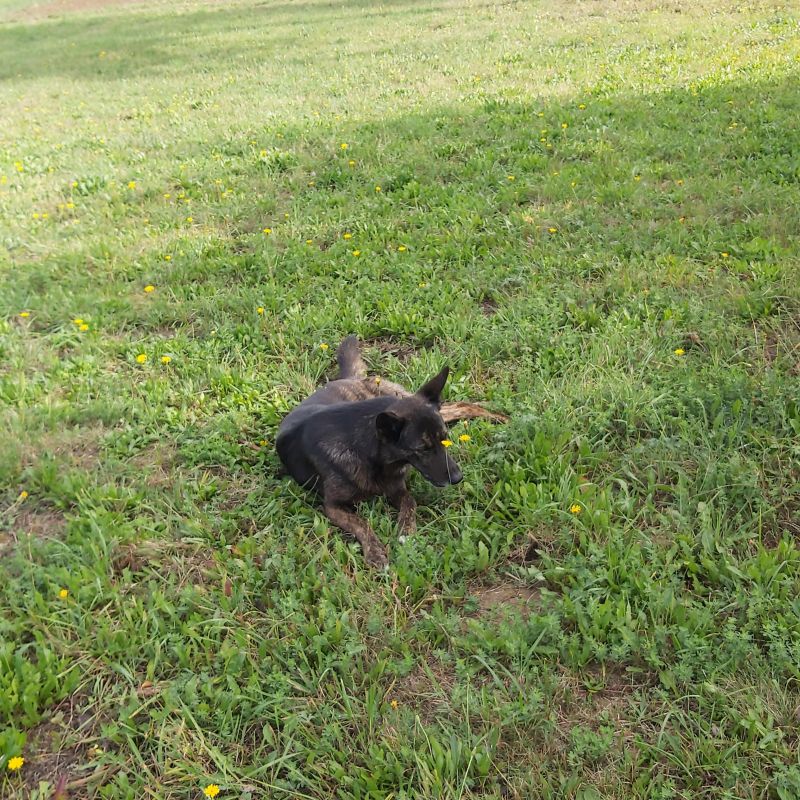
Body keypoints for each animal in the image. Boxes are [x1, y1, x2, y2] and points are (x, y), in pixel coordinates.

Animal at [276, 336, 506, 568]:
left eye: (444, 439)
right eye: (422, 449)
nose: (458, 478)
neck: (368, 453)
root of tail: (350, 379)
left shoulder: (398, 490)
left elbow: (410, 503)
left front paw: (406, 532)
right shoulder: (333, 506)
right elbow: (361, 523)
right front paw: (375, 551)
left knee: (464, 405)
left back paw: (502, 418)